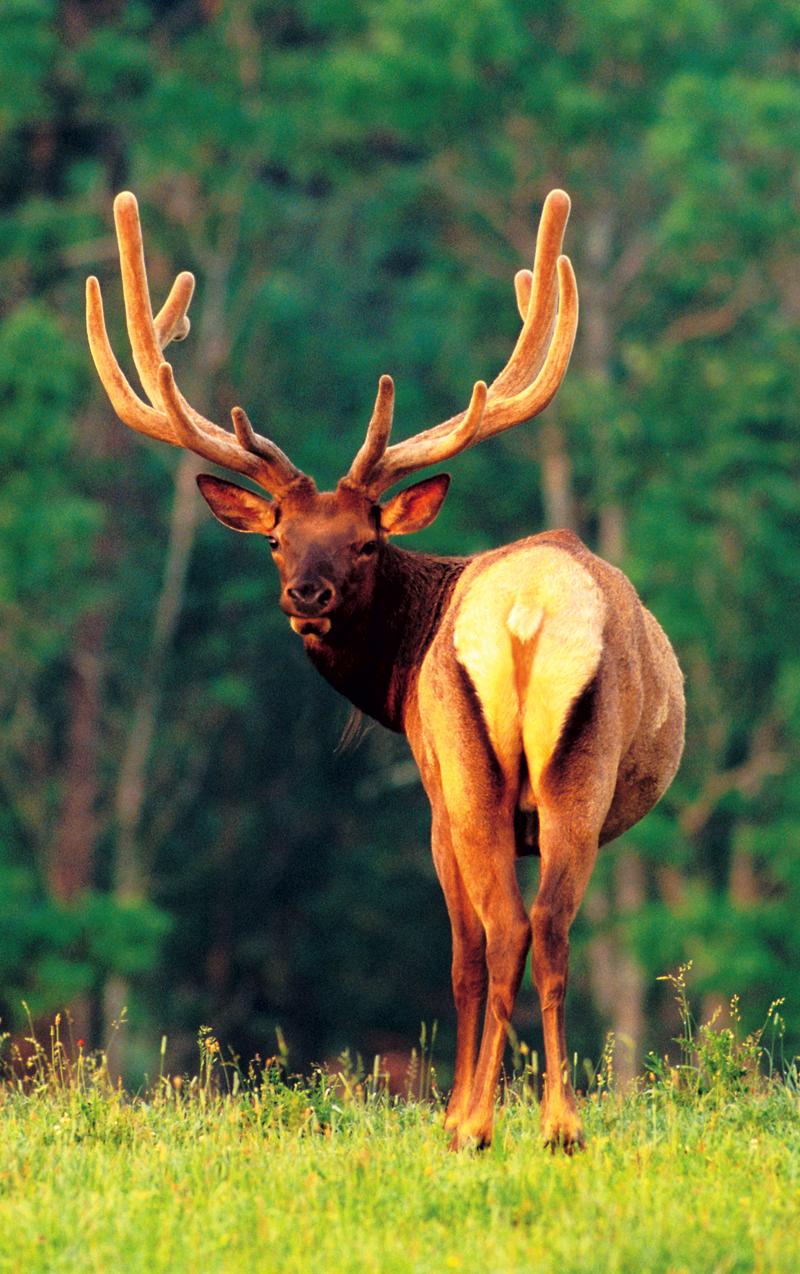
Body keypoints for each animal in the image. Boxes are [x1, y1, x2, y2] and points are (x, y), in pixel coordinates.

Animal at [89, 188, 687, 1156]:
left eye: (368, 542)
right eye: (276, 539)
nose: (307, 593)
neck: (396, 676)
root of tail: (525, 612)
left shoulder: (433, 790)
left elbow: (462, 956)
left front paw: (451, 1112)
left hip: (474, 776)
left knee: (503, 933)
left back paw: (476, 1124)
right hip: (578, 772)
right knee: (552, 927)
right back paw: (559, 1124)